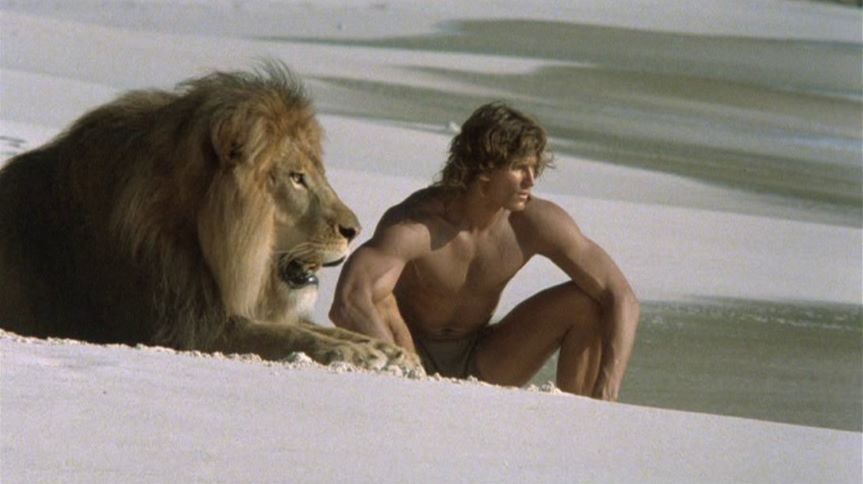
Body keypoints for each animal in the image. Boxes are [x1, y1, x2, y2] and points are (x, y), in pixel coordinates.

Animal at [0, 63, 421, 372]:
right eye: (296, 178)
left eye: (318, 173)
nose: (355, 230)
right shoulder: (180, 327)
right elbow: (282, 335)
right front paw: (360, 354)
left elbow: (306, 327)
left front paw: (389, 351)